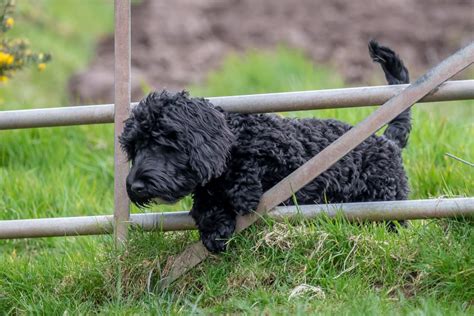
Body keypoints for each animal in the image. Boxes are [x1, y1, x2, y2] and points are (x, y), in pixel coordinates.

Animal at [119, 40, 412, 253]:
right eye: (133, 149)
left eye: (162, 143)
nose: (135, 186)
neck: (233, 135)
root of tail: (388, 140)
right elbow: (203, 206)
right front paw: (215, 229)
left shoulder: (283, 154)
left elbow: (253, 160)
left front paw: (243, 192)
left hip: (388, 200)